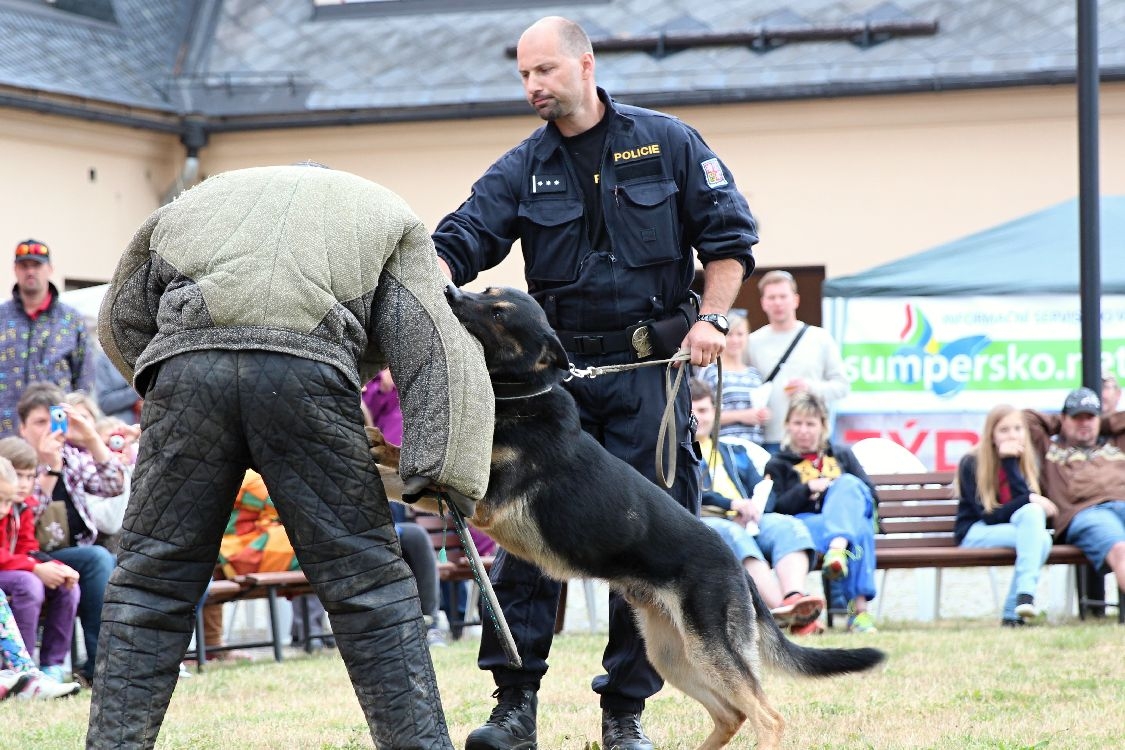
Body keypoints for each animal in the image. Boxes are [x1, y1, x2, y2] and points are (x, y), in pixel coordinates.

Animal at [373, 287, 882, 750]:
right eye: (485, 290)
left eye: (498, 311)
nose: (448, 290)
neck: (523, 397)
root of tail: (738, 566)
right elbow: (398, 467)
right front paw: (375, 440)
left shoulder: (479, 501)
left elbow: (408, 476)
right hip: (674, 654)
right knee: (731, 714)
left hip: (708, 650)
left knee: (766, 716)